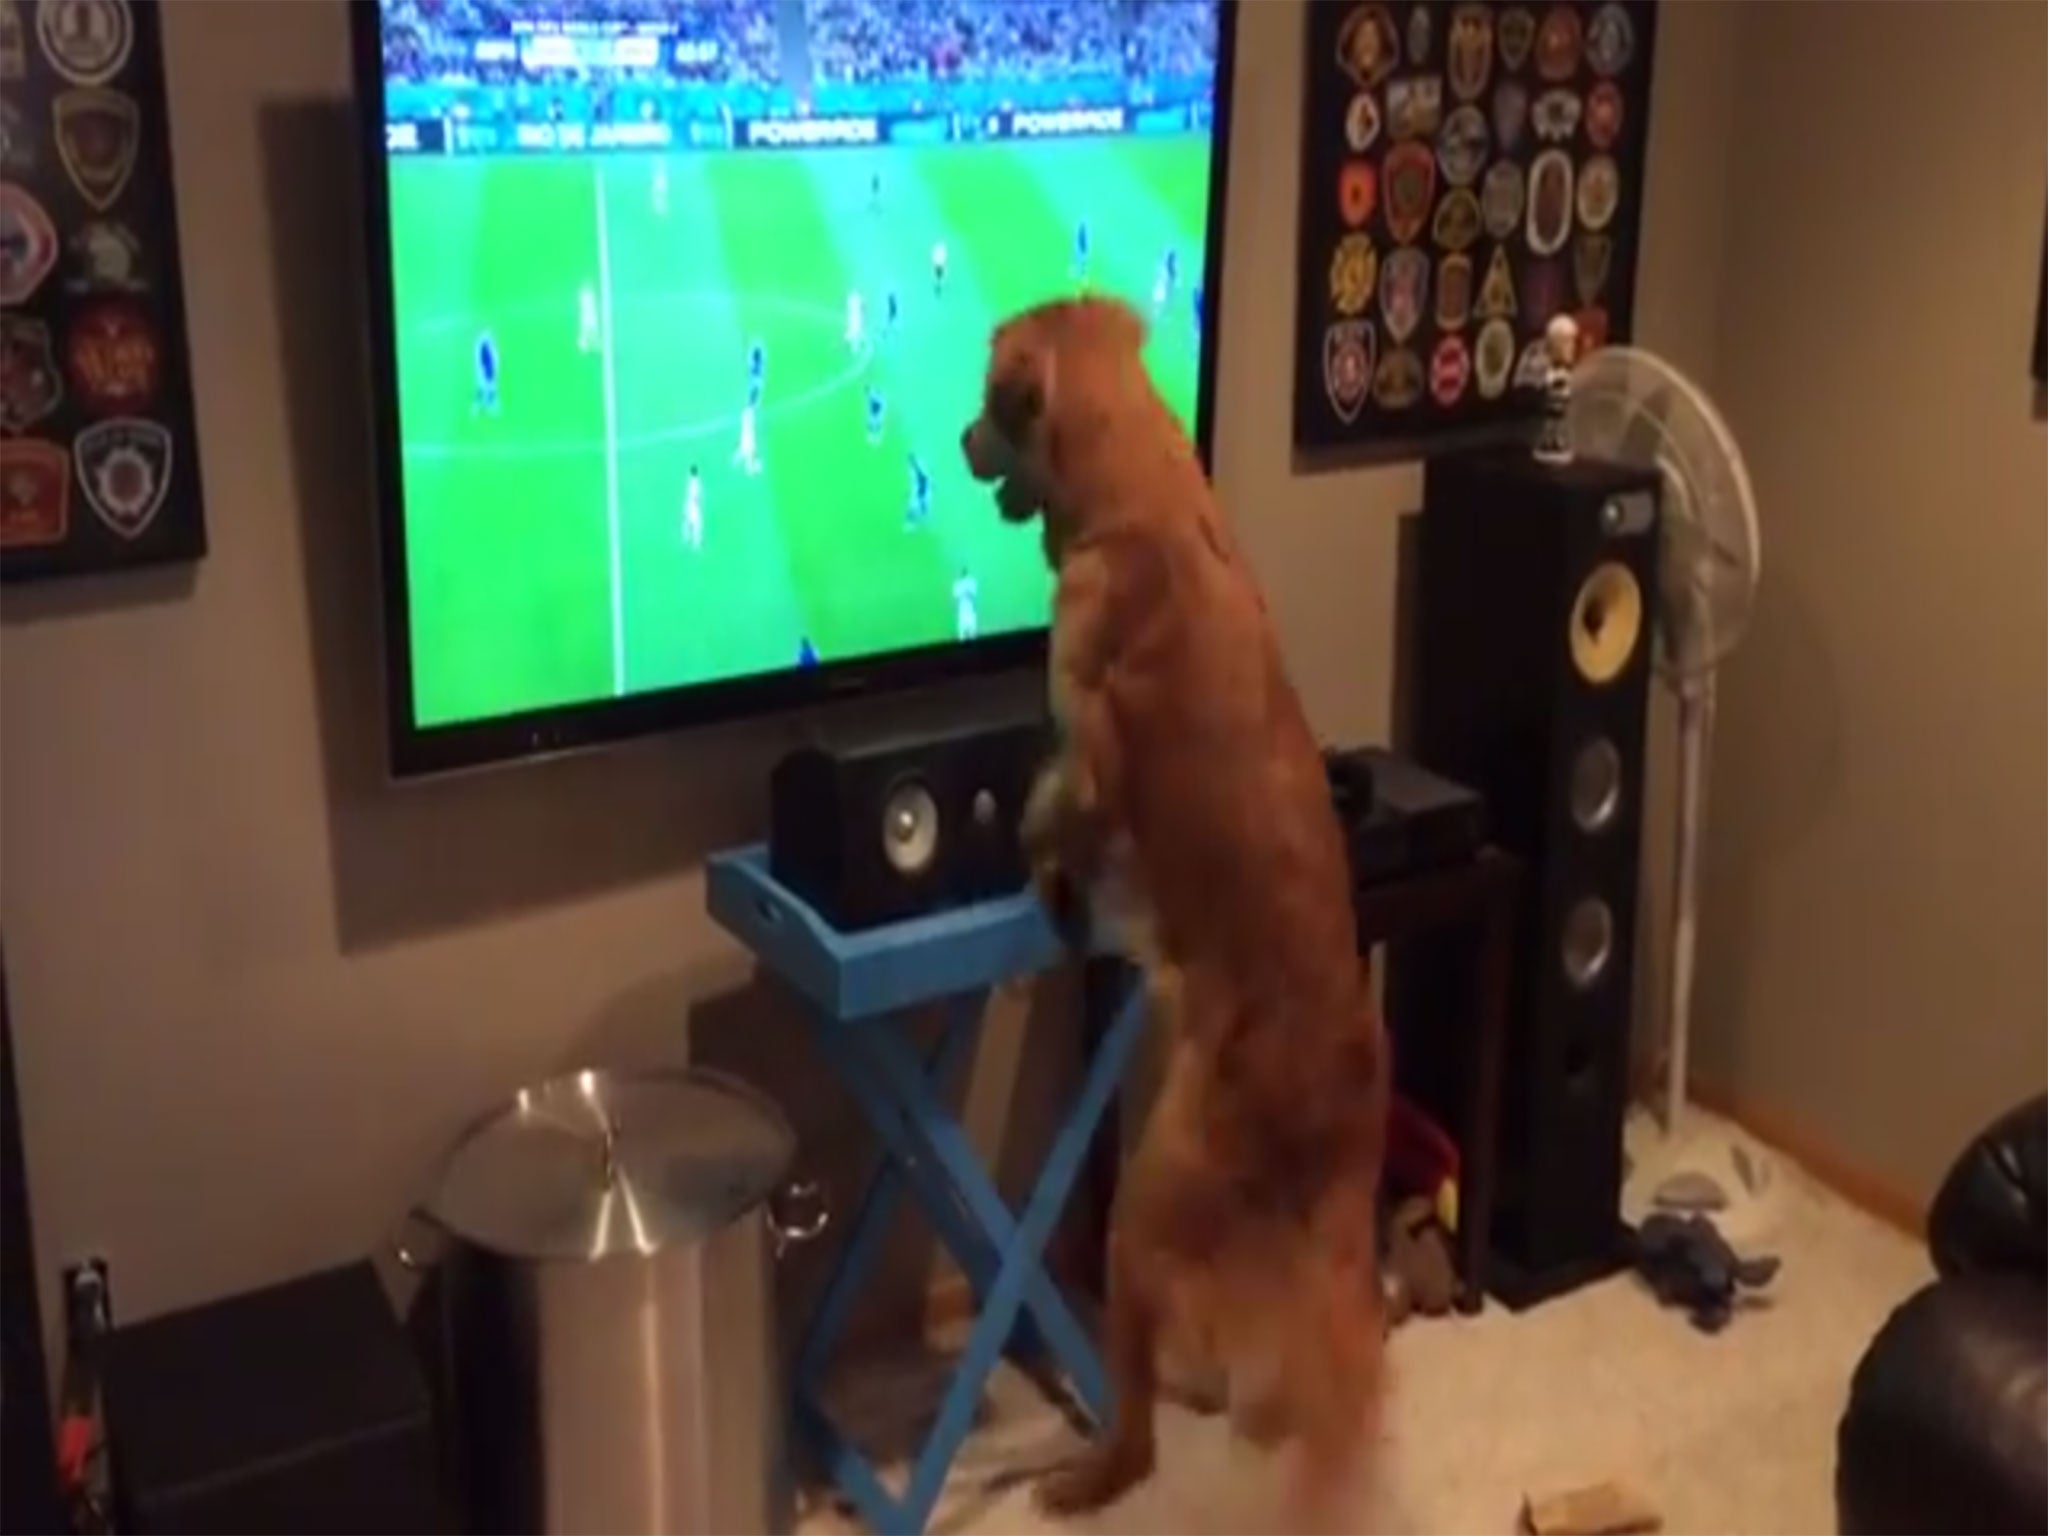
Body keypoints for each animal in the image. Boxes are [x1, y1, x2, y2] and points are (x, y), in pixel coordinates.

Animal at [958, 301, 1392, 1531]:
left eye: (986, 404)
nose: (957, 442)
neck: (1135, 500)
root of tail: (1347, 1103)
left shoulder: (1092, 746)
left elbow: (1049, 804)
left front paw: (1044, 876)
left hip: (1143, 1207)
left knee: (1144, 1426)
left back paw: (1089, 1476)